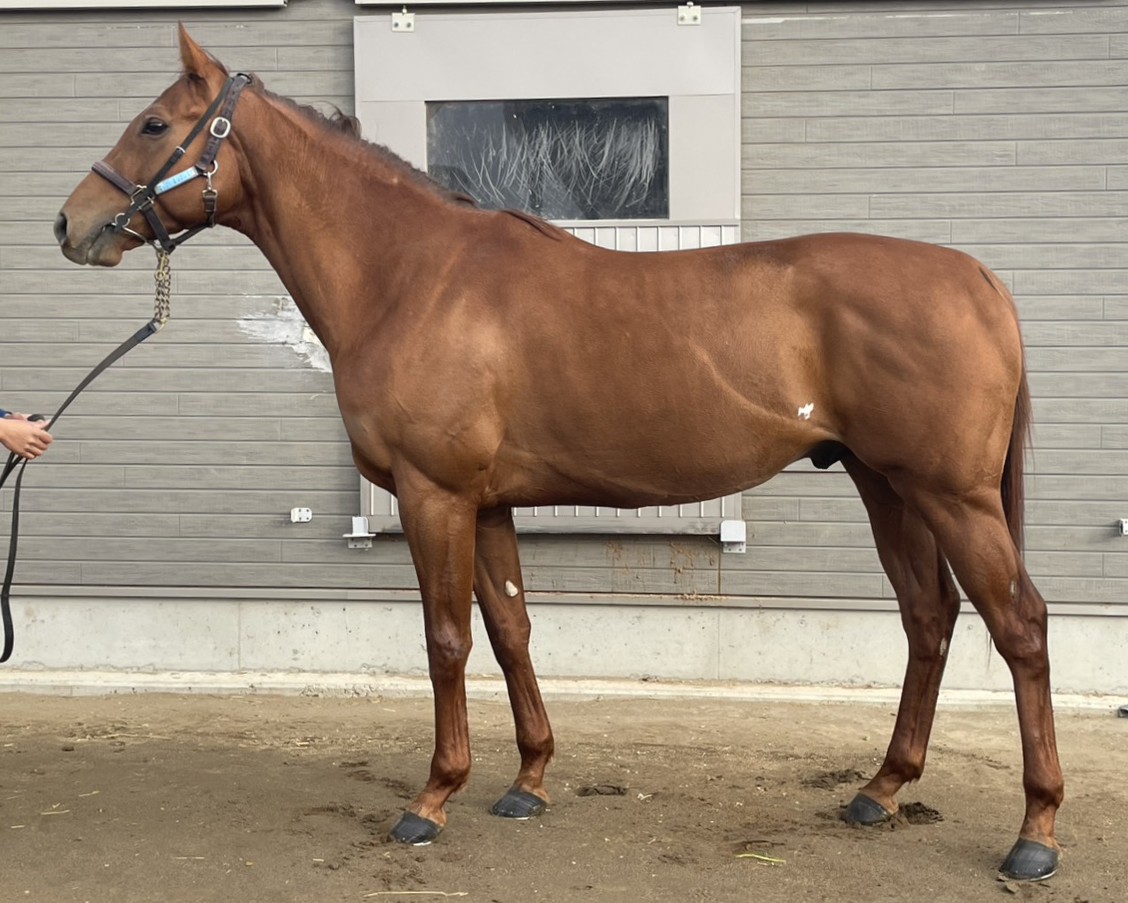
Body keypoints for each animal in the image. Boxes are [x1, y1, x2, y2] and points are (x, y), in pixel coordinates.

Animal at [54, 26, 1063, 881]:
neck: (412, 275)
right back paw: (880, 789)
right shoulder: (490, 500)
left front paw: (433, 797)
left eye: (154, 123)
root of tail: (979, 278)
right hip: (885, 483)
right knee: (929, 618)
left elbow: (446, 639)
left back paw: (1035, 832)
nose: (70, 224)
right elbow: (510, 629)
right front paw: (526, 781)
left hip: (952, 494)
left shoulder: (434, 494)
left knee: (1019, 626)